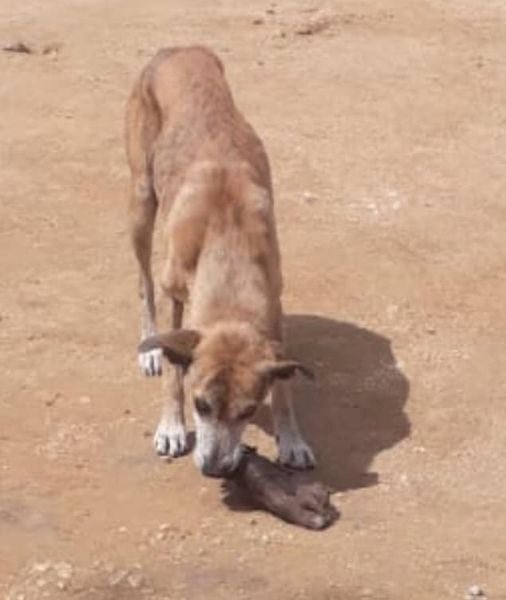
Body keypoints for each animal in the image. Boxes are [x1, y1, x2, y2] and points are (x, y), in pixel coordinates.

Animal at [126, 45, 314, 478]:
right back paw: (148, 348)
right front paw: (171, 427)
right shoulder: (176, 295)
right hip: (141, 202)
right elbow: (174, 369)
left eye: (248, 411)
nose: (214, 468)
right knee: (143, 284)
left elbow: (285, 382)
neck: (227, 250)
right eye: (200, 405)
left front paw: (292, 439)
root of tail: (179, 49)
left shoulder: (274, 306)